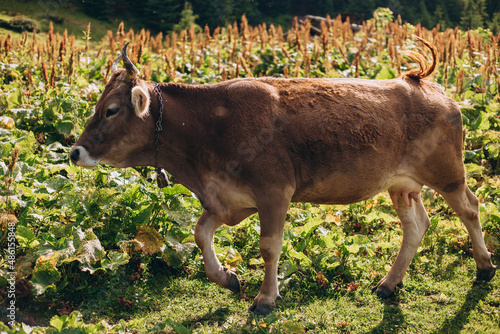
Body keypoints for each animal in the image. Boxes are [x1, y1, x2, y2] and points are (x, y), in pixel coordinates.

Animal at [70, 37, 496, 314]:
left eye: (110, 110)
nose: (75, 151)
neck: (209, 131)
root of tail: (425, 84)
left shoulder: (274, 191)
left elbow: (269, 246)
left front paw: (265, 298)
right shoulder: (226, 199)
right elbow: (199, 233)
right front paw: (227, 277)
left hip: (448, 173)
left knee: (471, 209)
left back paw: (485, 267)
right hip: (401, 185)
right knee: (416, 225)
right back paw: (390, 284)